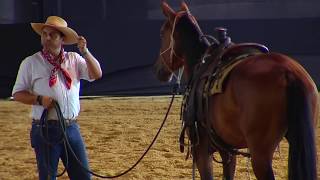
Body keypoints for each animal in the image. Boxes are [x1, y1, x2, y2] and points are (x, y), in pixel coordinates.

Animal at [153, 1, 318, 180]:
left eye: (161, 33)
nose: (158, 70)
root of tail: (289, 72)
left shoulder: (202, 151)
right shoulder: (228, 150)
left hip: (260, 155)